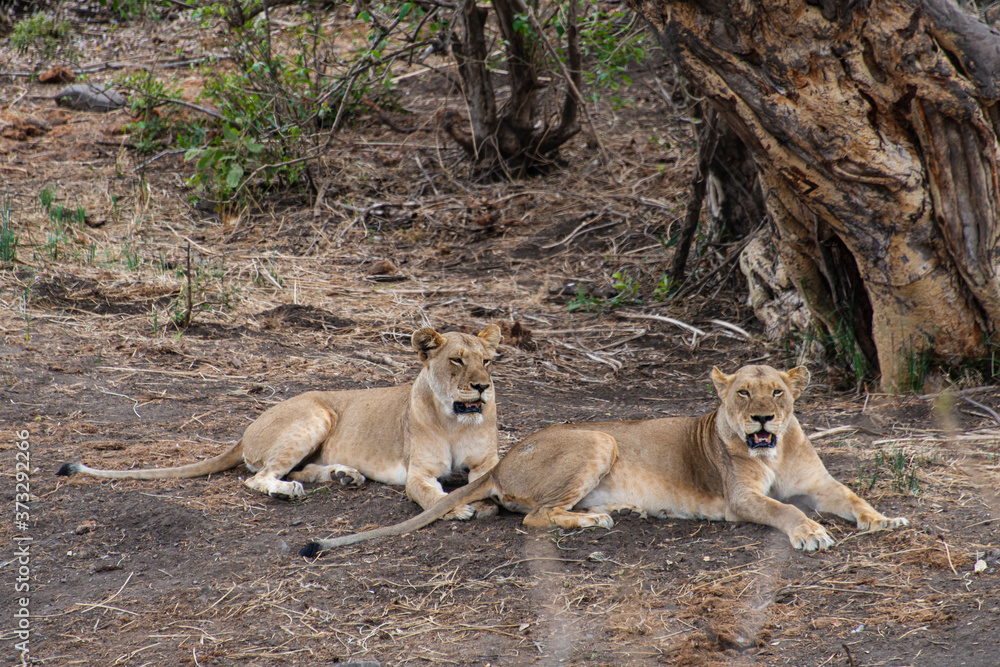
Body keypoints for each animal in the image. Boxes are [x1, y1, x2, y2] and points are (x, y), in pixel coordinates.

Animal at [58, 325, 503, 519]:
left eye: (488, 360)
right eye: (457, 360)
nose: (482, 387)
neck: (455, 420)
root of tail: (245, 432)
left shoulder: (488, 463)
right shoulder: (418, 473)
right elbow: (432, 494)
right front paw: (457, 508)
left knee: (297, 470)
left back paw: (343, 476)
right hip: (316, 414)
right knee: (259, 477)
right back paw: (289, 491)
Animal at [300, 364, 908, 557]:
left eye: (777, 393)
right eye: (742, 394)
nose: (761, 418)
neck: (775, 450)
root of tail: (501, 459)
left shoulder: (820, 483)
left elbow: (851, 496)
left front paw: (885, 519)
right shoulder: (741, 499)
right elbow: (787, 511)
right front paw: (810, 533)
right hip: (598, 441)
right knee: (534, 517)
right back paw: (595, 519)